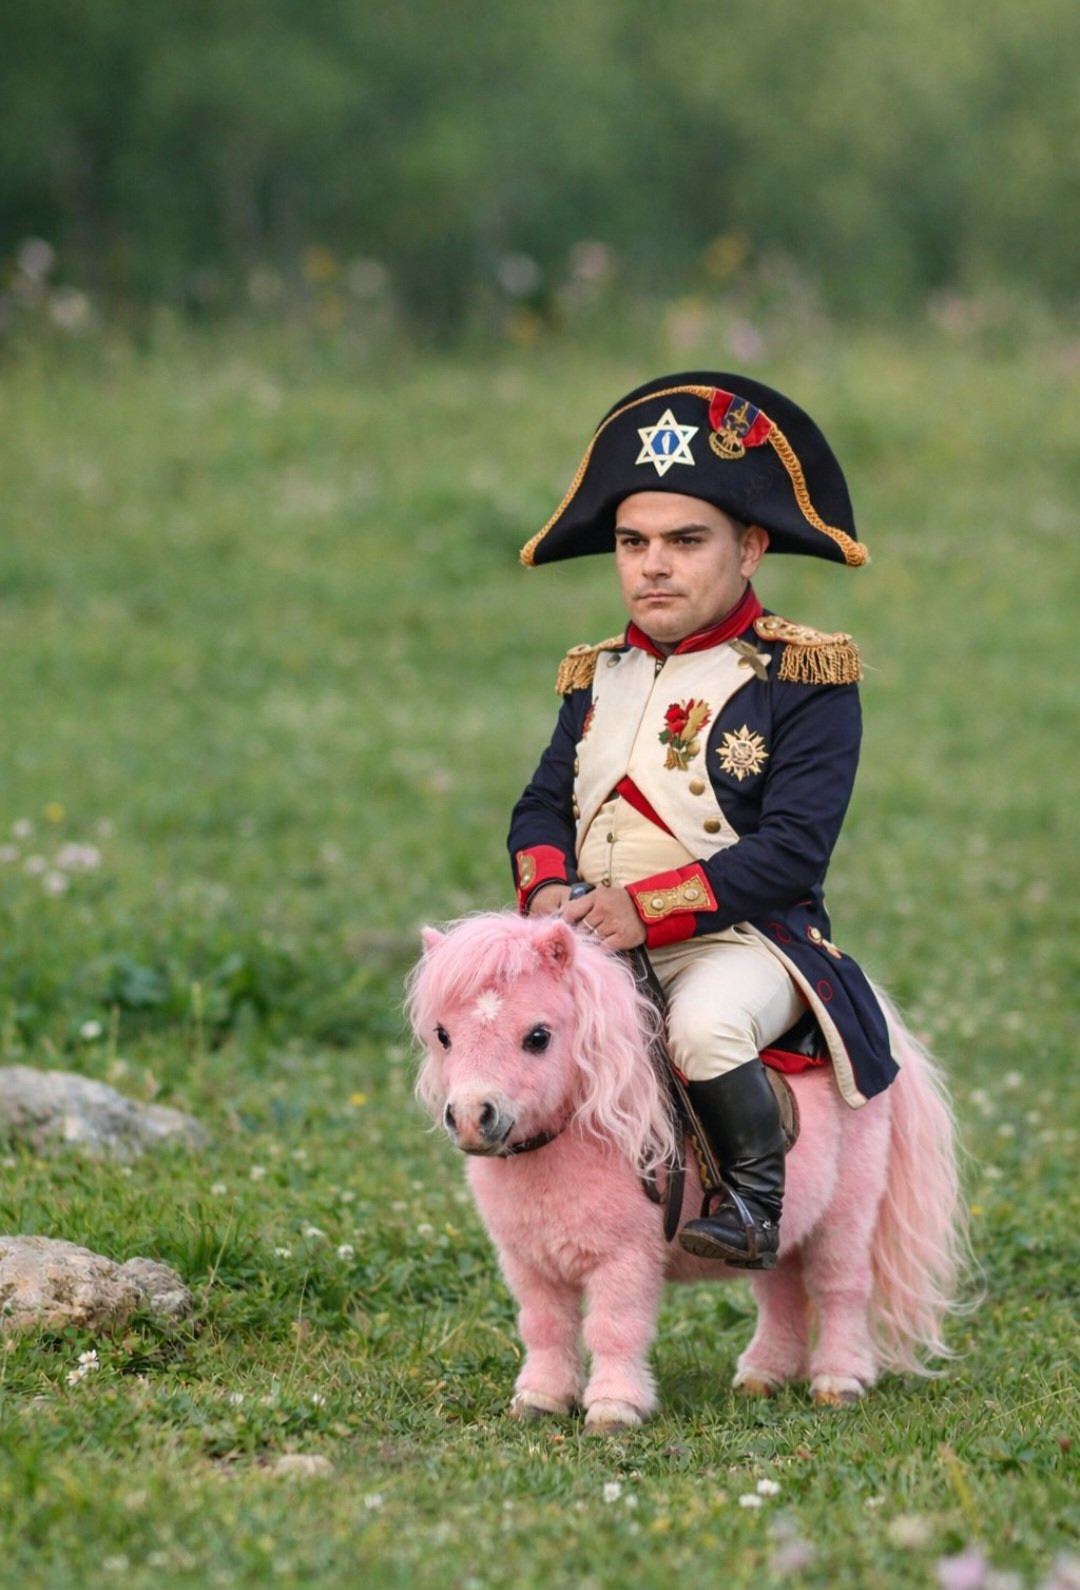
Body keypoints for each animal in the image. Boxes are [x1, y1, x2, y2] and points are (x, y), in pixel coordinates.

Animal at [406, 910, 969, 1433]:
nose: (472, 1117)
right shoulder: (530, 1263)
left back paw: (839, 1380)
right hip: (780, 1228)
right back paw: (765, 1374)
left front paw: (614, 1408)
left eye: (538, 1036)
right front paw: (541, 1399)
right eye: (443, 1035)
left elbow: (614, 1329)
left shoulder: (626, 1261)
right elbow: (545, 1327)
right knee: (781, 1292)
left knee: (840, 1288)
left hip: (846, 1214)